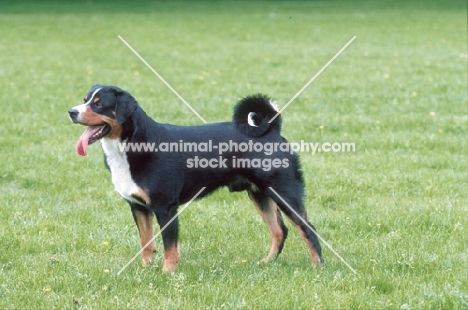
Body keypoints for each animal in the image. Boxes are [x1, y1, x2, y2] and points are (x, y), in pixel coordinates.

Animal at [67, 84, 324, 272]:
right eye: (85, 99)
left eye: (99, 105)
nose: (71, 112)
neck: (130, 147)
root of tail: (271, 129)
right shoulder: (138, 206)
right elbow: (146, 242)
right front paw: (145, 269)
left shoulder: (165, 207)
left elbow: (169, 246)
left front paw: (167, 273)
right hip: (260, 194)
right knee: (280, 231)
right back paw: (267, 263)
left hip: (284, 191)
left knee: (307, 228)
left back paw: (317, 266)